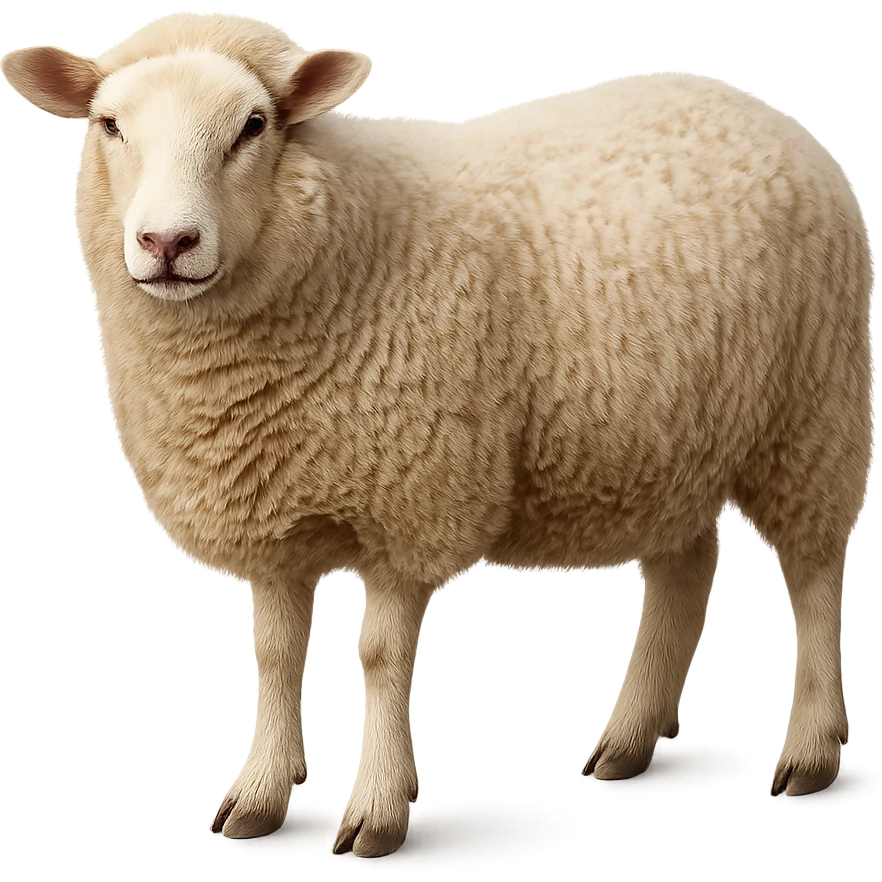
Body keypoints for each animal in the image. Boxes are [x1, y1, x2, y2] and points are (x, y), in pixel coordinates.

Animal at [2, 10, 874, 858]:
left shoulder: (407, 499)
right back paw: (630, 741)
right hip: (671, 436)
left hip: (810, 412)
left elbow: (380, 658)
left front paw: (378, 813)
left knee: (814, 576)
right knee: (683, 572)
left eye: (253, 126)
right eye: (109, 124)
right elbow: (273, 658)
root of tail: (755, 104)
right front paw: (258, 797)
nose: (166, 244)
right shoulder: (273, 507)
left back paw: (811, 753)